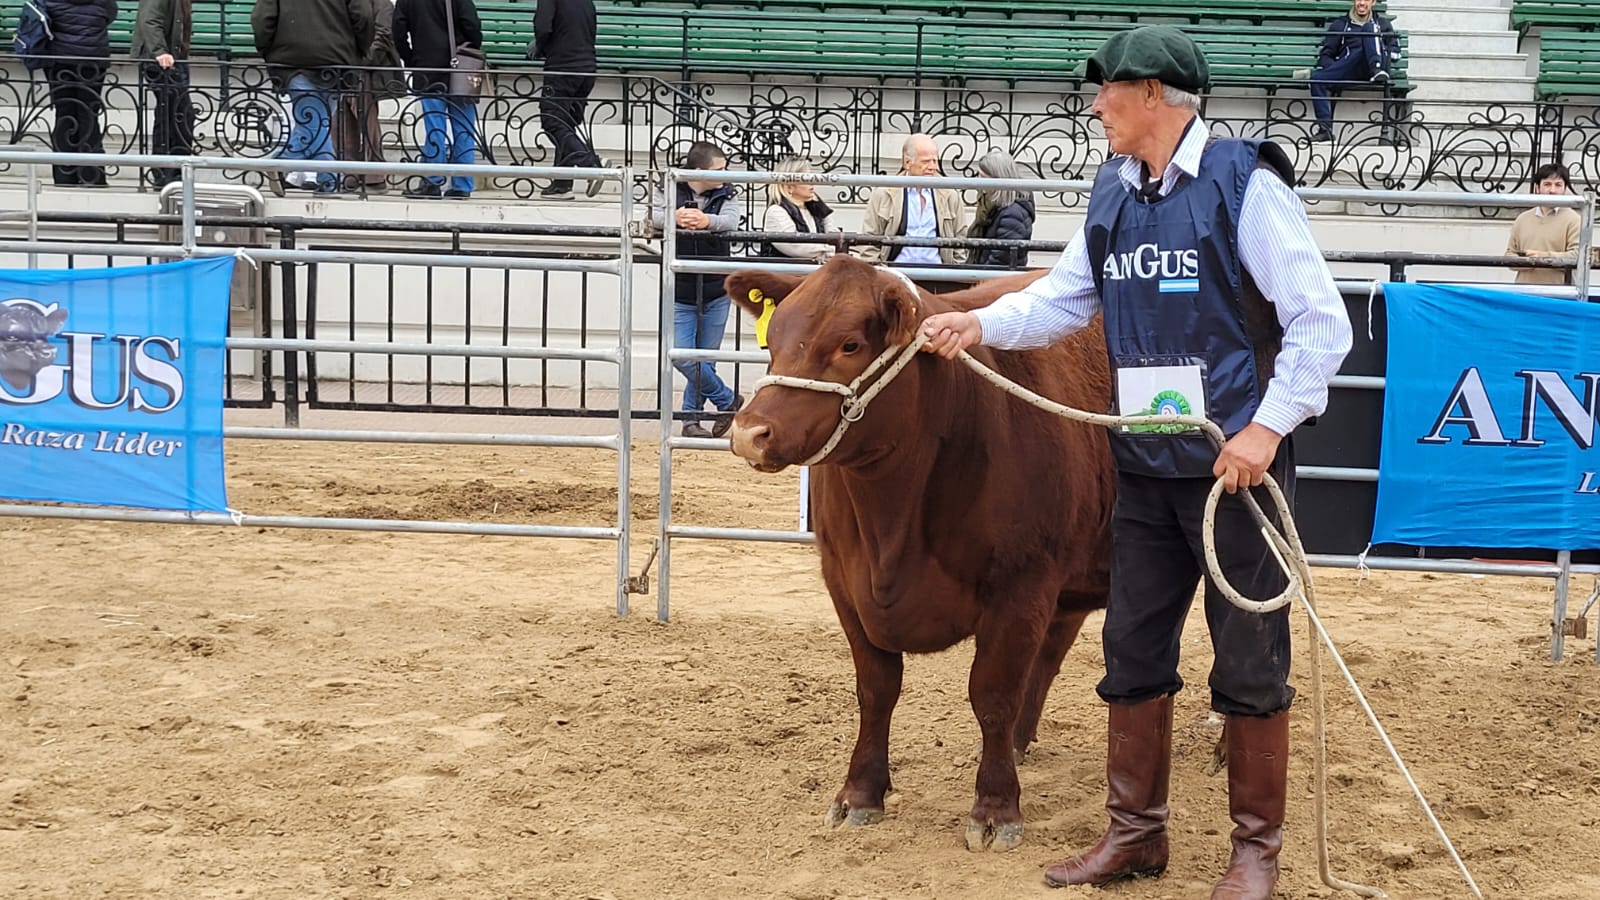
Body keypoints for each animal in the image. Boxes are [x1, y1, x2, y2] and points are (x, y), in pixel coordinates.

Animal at [732, 254, 1120, 845]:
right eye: (773, 338)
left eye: (850, 345)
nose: (750, 433)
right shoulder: (843, 581)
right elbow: (876, 689)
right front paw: (860, 793)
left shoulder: (1022, 584)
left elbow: (993, 695)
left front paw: (995, 807)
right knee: (1053, 650)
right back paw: (1021, 744)